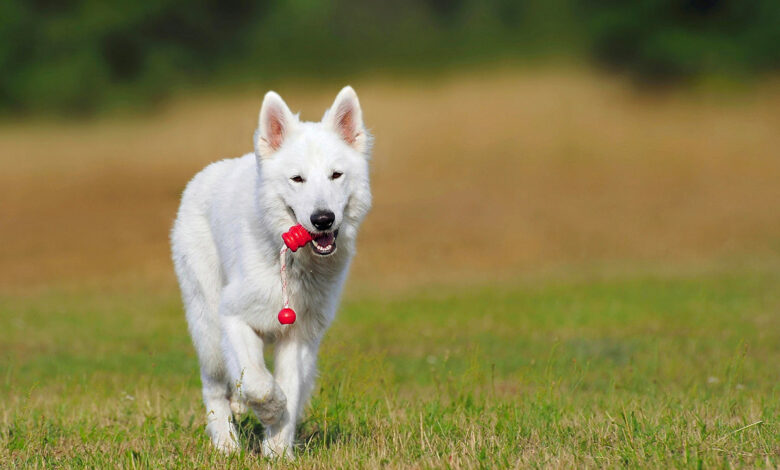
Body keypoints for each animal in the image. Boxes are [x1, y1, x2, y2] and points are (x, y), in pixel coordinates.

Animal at [172, 86, 374, 458]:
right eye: (297, 179)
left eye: (336, 175)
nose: (322, 219)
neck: (293, 261)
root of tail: (204, 174)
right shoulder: (233, 317)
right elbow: (259, 383)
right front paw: (269, 411)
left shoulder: (299, 336)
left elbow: (289, 388)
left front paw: (278, 450)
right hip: (207, 327)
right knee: (214, 386)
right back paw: (226, 444)